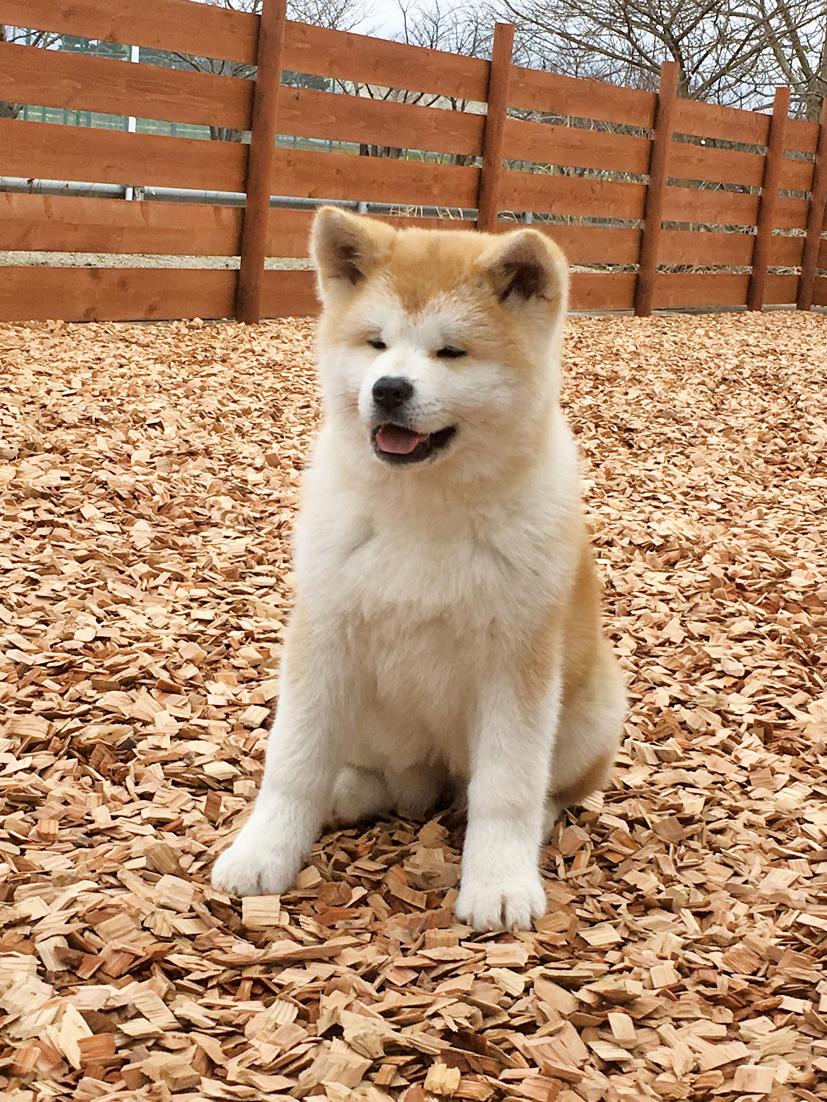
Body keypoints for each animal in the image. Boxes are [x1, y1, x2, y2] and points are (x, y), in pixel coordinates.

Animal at [210, 207, 626, 930]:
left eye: (450, 352)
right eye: (377, 344)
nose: (389, 389)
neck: (421, 513)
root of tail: (429, 774)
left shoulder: (516, 666)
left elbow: (506, 790)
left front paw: (498, 884)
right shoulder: (323, 640)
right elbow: (292, 763)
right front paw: (263, 852)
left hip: (591, 705)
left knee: (539, 789)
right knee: (378, 778)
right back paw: (349, 791)